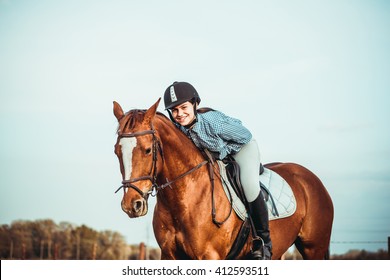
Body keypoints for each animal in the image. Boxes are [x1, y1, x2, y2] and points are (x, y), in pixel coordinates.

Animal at [111, 98, 334, 260]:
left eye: (148, 150)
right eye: (116, 152)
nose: (131, 205)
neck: (184, 198)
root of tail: (311, 179)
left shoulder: (209, 256)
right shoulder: (169, 256)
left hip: (314, 249)